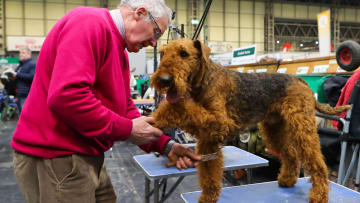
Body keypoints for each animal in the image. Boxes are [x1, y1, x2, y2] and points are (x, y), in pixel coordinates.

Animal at [150, 38, 350, 203]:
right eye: (162, 53)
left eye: (184, 53)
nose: (164, 80)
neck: (206, 79)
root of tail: (301, 81)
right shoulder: (208, 138)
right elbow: (209, 173)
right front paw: (208, 197)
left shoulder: (220, 123)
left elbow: (181, 108)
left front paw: (160, 117)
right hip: (274, 129)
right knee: (291, 154)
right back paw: (287, 180)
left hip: (302, 128)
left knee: (317, 163)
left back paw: (319, 195)